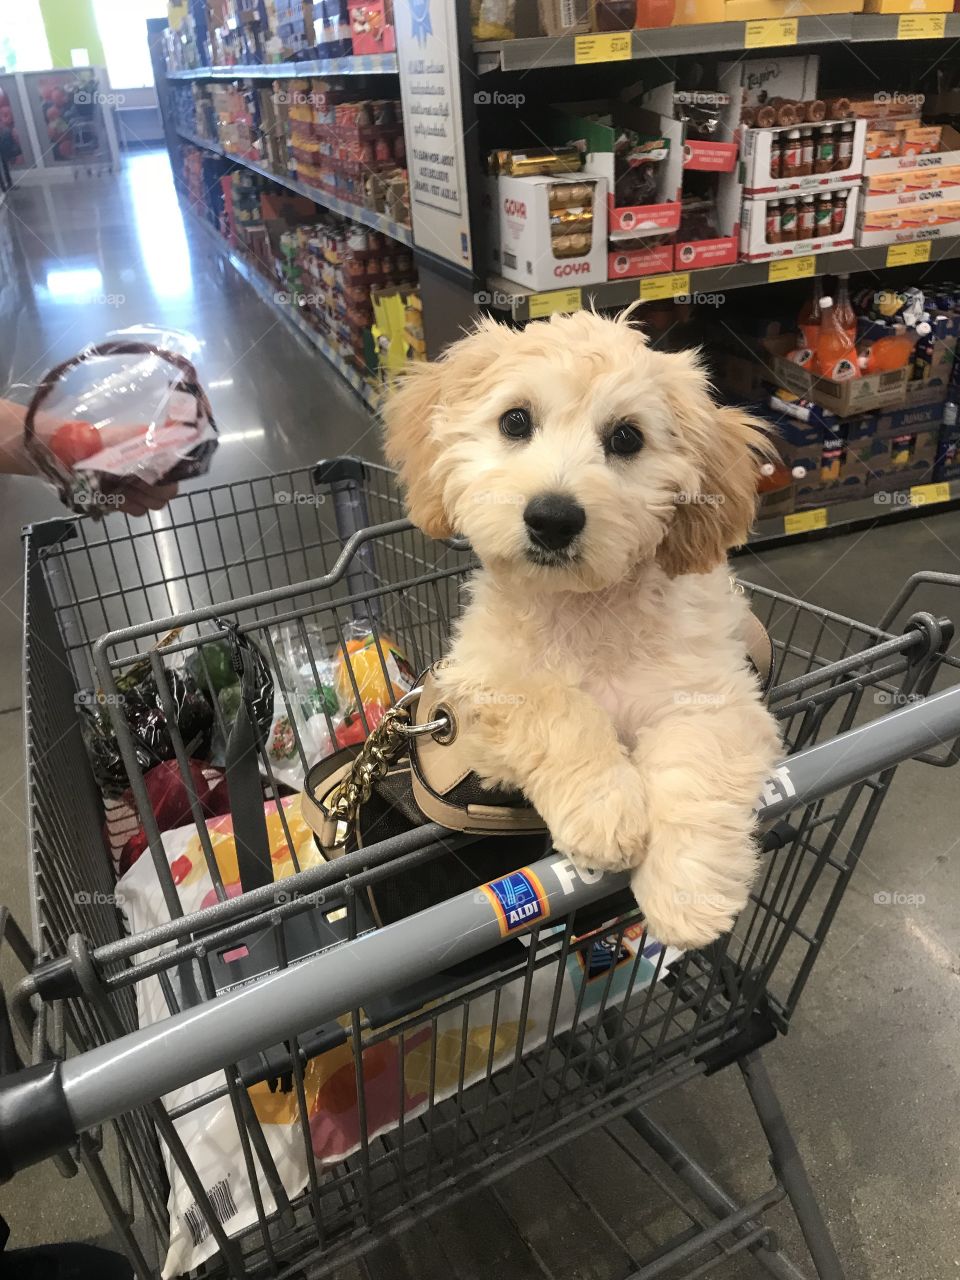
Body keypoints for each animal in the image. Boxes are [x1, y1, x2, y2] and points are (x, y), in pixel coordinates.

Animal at [386, 309, 783, 952]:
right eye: (515, 420)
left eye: (626, 438)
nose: (552, 518)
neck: (586, 609)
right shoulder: (484, 682)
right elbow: (554, 704)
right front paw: (606, 811)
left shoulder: (715, 694)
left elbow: (696, 762)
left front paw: (688, 893)